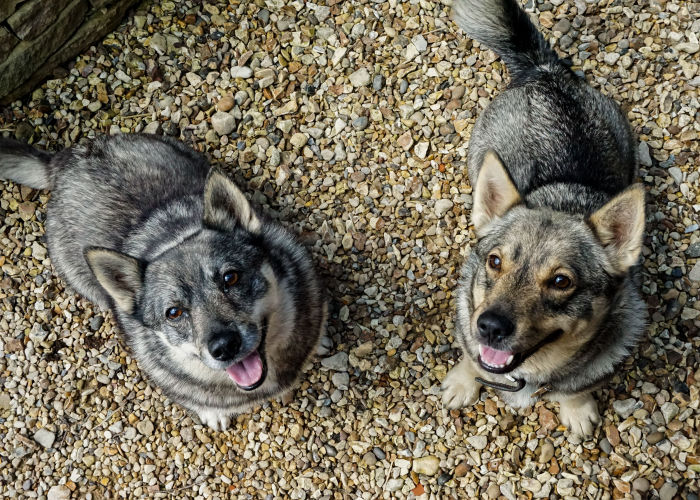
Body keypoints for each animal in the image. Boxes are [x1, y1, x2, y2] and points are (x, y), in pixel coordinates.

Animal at [442, 0, 644, 438]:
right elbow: (469, 356)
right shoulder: (467, 323)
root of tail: (546, 71)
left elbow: (575, 387)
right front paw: (463, 382)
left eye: (561, 281)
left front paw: (576, 409)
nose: (491, 326)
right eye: (494, 261)